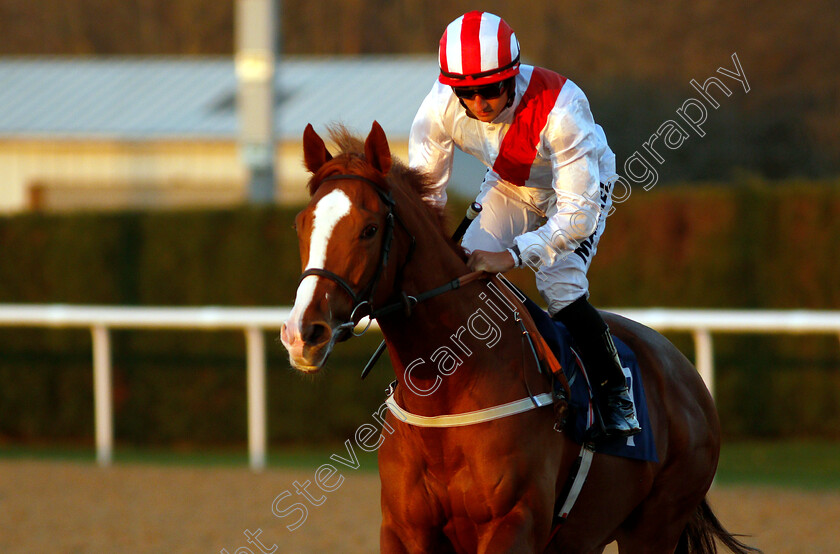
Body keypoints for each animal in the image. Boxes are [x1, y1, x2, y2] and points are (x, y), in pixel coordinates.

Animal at [278, 122, 756, 552]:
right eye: (301, 224)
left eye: (369, 229)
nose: (304, 332)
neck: (447, 387)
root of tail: (685, 373)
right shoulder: (404, 530)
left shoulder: (515, 521)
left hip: (655, 525)